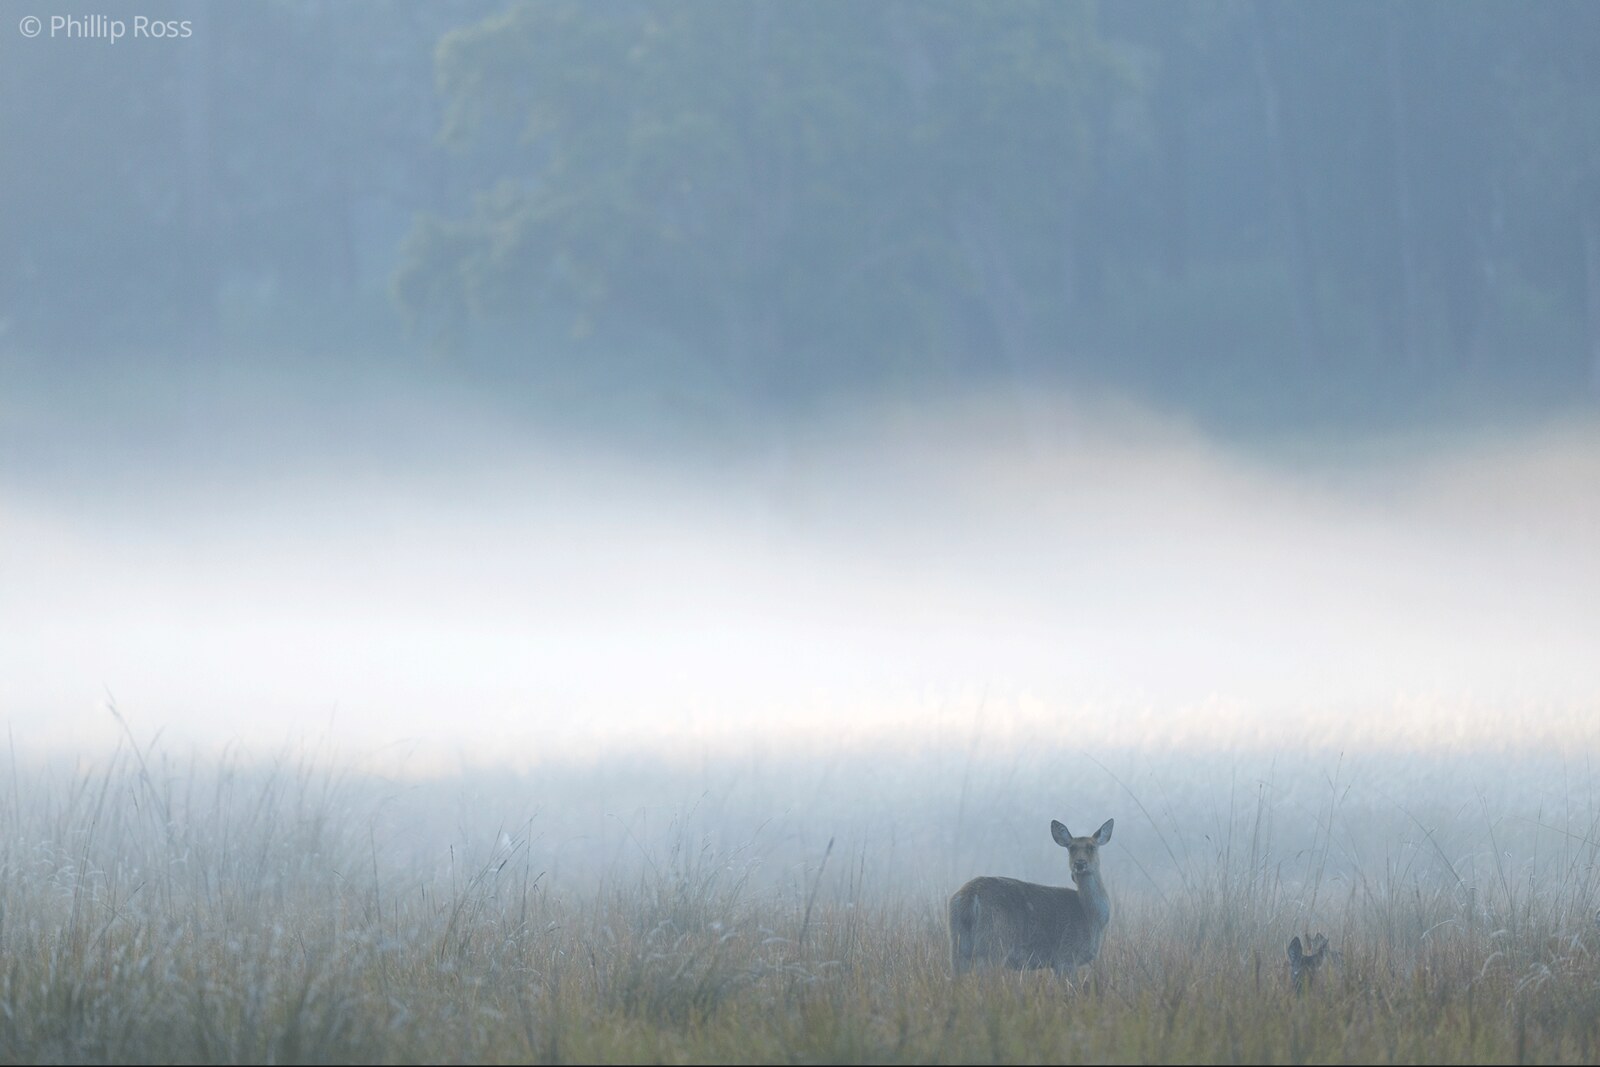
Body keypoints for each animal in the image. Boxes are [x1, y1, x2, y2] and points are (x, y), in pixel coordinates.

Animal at [948, 818, 1114, 976]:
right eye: (1071, 847)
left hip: (959, 944)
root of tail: (970, 896)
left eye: (1091, 847)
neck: (1091, 918)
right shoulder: (1066, 956)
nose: (1079, 863)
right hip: (992, 944)